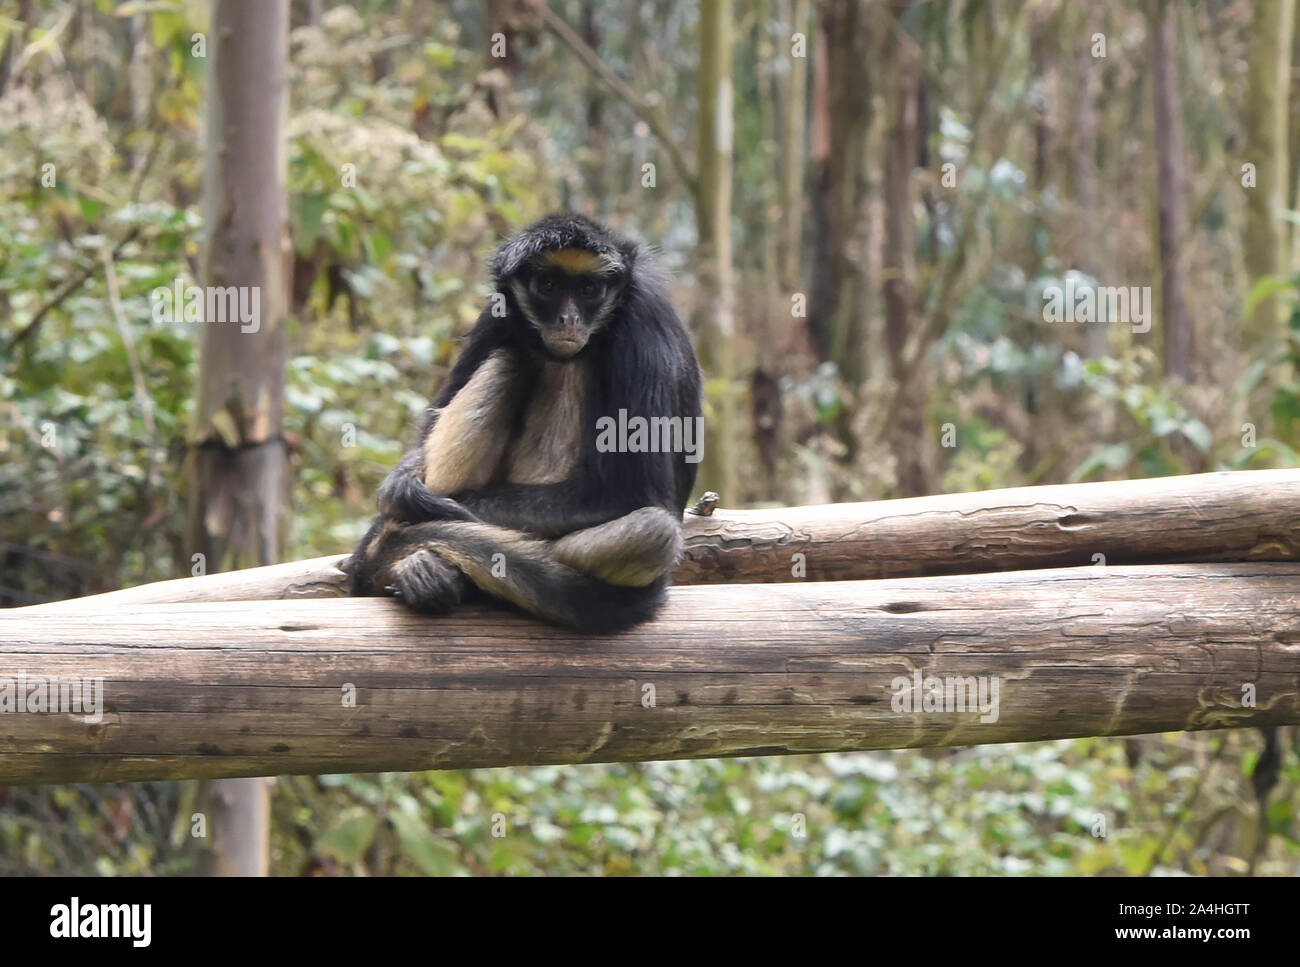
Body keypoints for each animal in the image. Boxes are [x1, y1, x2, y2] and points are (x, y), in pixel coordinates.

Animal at [343, 213, 702, 634]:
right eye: (547, 286)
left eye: (588, 289)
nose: (568, 319)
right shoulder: (499, 308)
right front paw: (401, 488)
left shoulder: (643, 316)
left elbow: (633, 492)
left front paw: (393, 517)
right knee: (512, 358)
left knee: (653, 532)